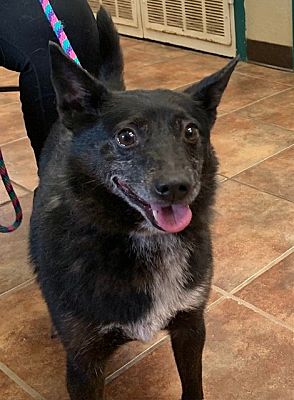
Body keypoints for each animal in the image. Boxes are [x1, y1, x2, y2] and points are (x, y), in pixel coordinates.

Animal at [29, 7, 237, 400]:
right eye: (126, 136)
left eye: (191, 131)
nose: (178, 187)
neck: (144, 240)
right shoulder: (84, 363)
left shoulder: (190, 327)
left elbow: (193, 384)